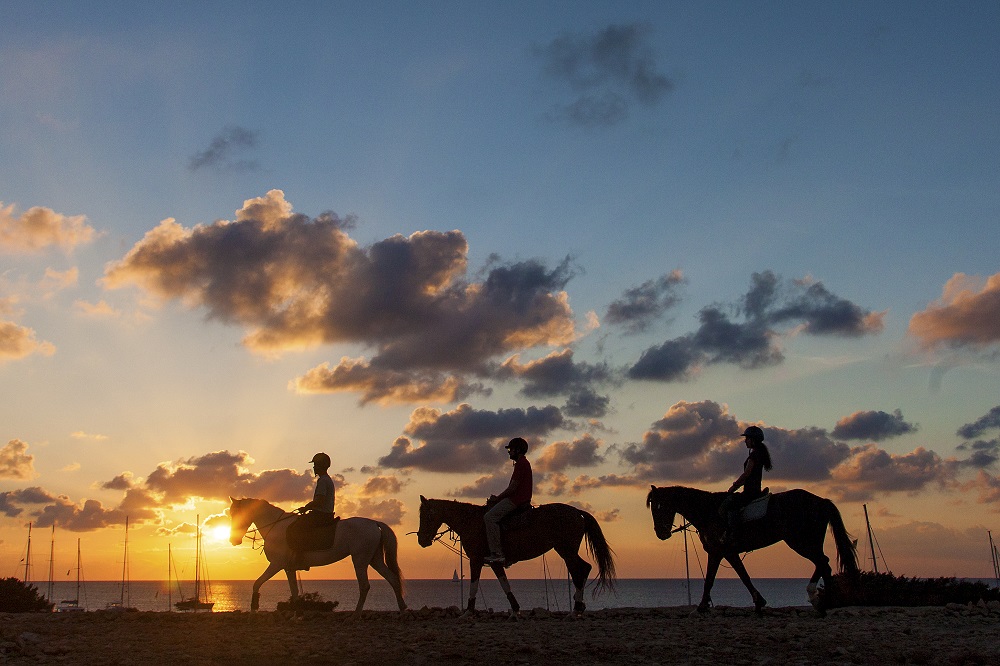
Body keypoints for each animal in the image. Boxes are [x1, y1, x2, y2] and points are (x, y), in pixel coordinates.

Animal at [229, 498, 406, 612]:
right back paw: (402, 608)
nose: (233, 540)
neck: (276, 527)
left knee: (364, 586)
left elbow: (257, 583)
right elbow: (294, 591)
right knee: (392, 579)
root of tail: (374, 523)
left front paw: (254, 607)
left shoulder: (276, 564)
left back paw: (356, 614)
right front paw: (296, 613)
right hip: (374, 559)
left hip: (360, 560)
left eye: (236, 514)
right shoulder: (288, 568)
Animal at [416, 496, 616, 616]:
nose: (421, 540)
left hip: (566, 550)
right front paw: (515, 609)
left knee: (580, 570)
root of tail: (577, 512)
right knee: (582, 569)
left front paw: (468, 611)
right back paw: (578, 606)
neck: (471, 521)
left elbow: (474, 584)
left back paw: (576, 608)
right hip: (567, 551)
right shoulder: (493, 562)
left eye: (425, 516)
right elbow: (504, 583)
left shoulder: (475, 559)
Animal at [648, 482, 860, 612]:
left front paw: (701, 607)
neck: (708, 511)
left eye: (659, 507)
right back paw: (821, 601)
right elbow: (732, 576)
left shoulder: (721, 551)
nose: (661, 534)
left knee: (823, 563)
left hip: (801, 542)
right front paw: (758, 602)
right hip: (808, 542)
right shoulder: (724, 552)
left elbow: (721, 579)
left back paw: (824, 602)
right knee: (822, 564)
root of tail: (821, 501)